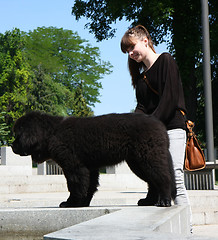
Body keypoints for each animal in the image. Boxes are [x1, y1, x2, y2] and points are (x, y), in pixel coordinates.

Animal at [11, 111, 175, 207]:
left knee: (162, 178)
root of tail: (161, 126)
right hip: (138, 162)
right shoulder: (89, 167)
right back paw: (148, 201)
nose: (12, 146)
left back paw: (164, 202)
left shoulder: (74, 166)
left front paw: (70, 203)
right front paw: (83, 203)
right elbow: (89, 186)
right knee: (152, 182)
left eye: (18, 135)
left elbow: (75, 185)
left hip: (149, 157)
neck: (51, 133)